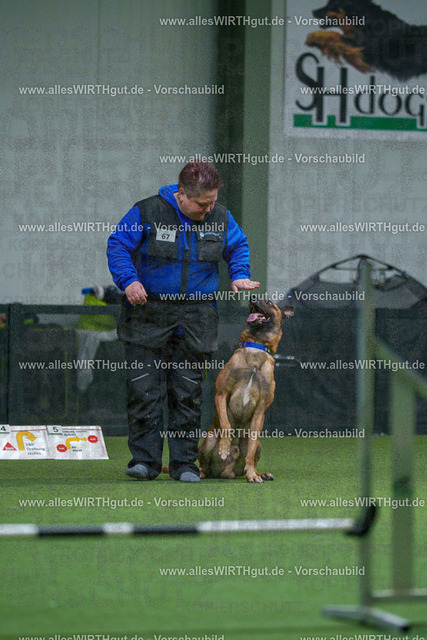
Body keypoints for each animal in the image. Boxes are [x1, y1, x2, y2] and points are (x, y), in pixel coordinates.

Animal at [198, 296, 294, 483]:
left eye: (269, 302)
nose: (252, 298)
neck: (255, 346)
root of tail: (226, 472)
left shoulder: (260, 409)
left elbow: (251, 448)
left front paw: (252, 475)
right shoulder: (221, 395)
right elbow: (226, 425)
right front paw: (224, 447)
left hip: (259, 446)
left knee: (252, 453)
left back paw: (259, 473)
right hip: (209, 440)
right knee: (204, 466)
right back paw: (200, 472)